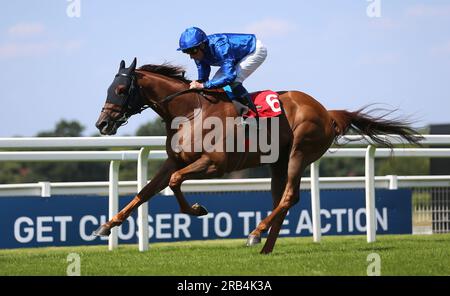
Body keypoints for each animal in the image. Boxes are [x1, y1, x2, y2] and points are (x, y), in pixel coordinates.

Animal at [93, 58, 420, 254]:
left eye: (121, 89)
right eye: (107, 88)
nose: (102, 124)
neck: (191, 112)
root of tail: (327, 112)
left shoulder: (214, 165)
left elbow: (174, 182)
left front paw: (198, 209)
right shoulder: (176, 160)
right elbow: (145, 191)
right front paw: (107, 225)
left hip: (300, 152)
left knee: (289, 196)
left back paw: (255, 233)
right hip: (277, 162)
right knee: (282, 199)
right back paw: (265, 246)